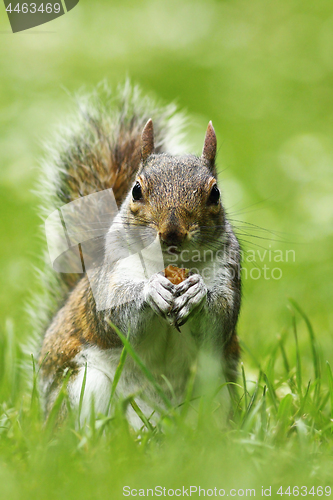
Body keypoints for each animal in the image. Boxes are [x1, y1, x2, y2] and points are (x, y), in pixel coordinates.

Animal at [37, 82, 241, 426]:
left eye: (215, 193)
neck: (171, 264)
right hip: (82, 384)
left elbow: (222, 319)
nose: (172, 233)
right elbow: (113, 316)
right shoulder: (110, 275)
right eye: (136, 190)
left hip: (216, 392)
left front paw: (198, 292)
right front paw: (151, 290)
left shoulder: (229, 272)